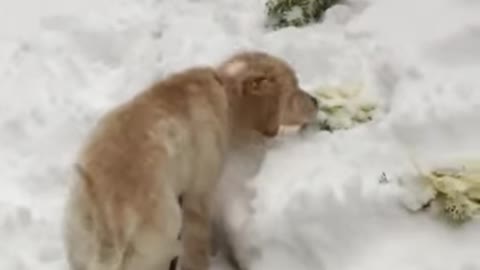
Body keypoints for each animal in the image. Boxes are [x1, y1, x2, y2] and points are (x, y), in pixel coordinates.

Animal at [63, 50, 318, 270]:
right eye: (295, 88)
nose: (316, 101)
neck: (224, 88)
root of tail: (110, 213)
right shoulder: (199, 194)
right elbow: (198, 245)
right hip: (159, 243)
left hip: (80, 248)